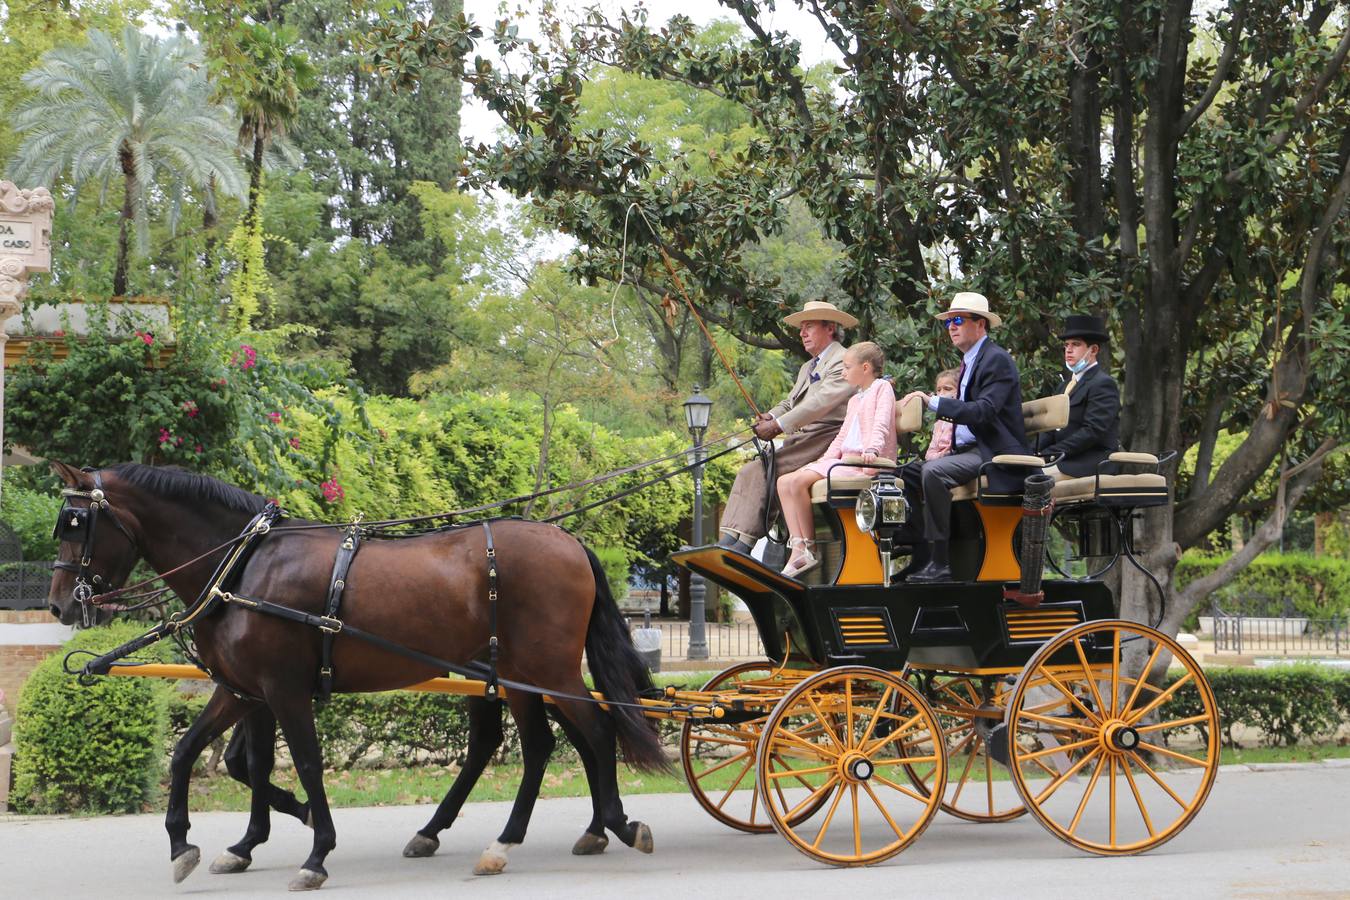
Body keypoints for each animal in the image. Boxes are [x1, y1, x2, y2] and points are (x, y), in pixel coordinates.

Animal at [46, 464, 664, 895]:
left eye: (77, 524)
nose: (58, 605)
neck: (245, 567)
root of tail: (570, 542)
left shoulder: (284, 691)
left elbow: (304, 763)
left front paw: (316, 851)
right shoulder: (243, 690)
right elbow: (202, 756)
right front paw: (202, 843)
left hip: (543, 669)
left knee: (590, 733)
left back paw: (596, 825)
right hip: (516, 674)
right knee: (538, 743)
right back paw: (535, 833)